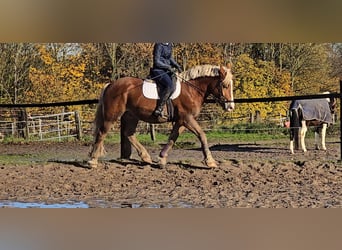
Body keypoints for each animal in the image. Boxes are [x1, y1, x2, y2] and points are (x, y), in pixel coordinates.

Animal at [87, 64, 234, 169]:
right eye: (225, 85)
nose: (231, 107)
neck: (191, 90)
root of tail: (111, 84)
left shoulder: (181, 120)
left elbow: (172, 138)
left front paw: (161, 159)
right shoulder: (187, 118)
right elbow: (202, 135)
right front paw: (210, 161)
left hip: (131, 115)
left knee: (129, 133)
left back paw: (146, 157)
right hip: (111, 116)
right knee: (102, 133)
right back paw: (93, 161)